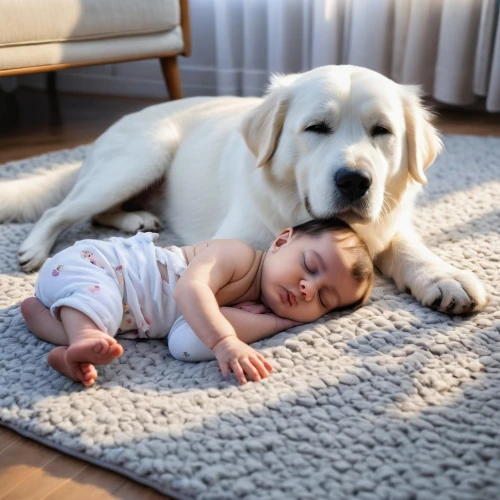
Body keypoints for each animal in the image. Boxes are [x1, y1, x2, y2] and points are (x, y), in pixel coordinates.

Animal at [0, 65, 484, 314]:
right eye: (316, 128)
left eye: (382, 131)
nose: (354, 180)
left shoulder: (387, 220)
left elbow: (407, 247)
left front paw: (444, 276)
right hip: (144, 156)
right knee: (61, 211)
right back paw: (36, 248)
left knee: (100, 213)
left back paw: (135, 218)